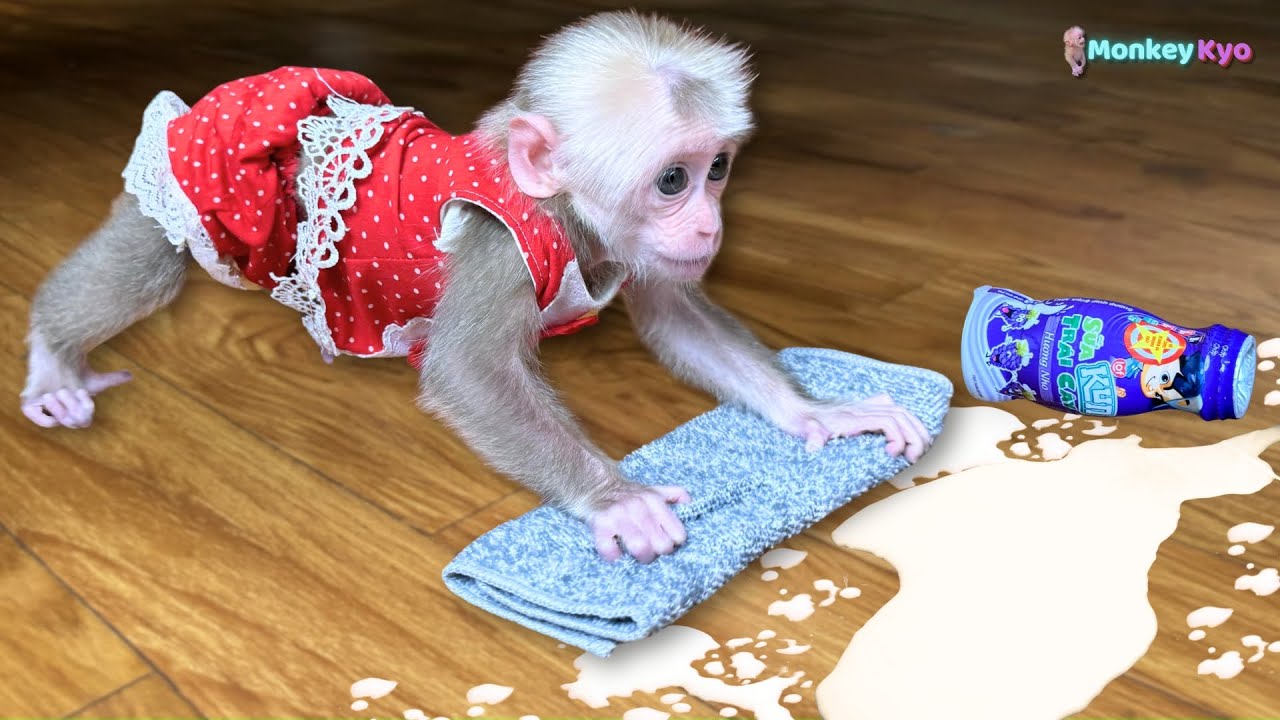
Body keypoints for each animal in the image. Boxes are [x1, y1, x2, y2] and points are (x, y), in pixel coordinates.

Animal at [21, 11, 932, 564]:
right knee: (152, 261)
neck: (566, 218)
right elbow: (465, 371)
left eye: (718, 170)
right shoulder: (499, 245)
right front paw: (614, 500)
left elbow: (674, 313)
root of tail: (229, 92)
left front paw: (819, 414)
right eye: (673, 180)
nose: (709, 226)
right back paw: (53, 356)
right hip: (200, 177)